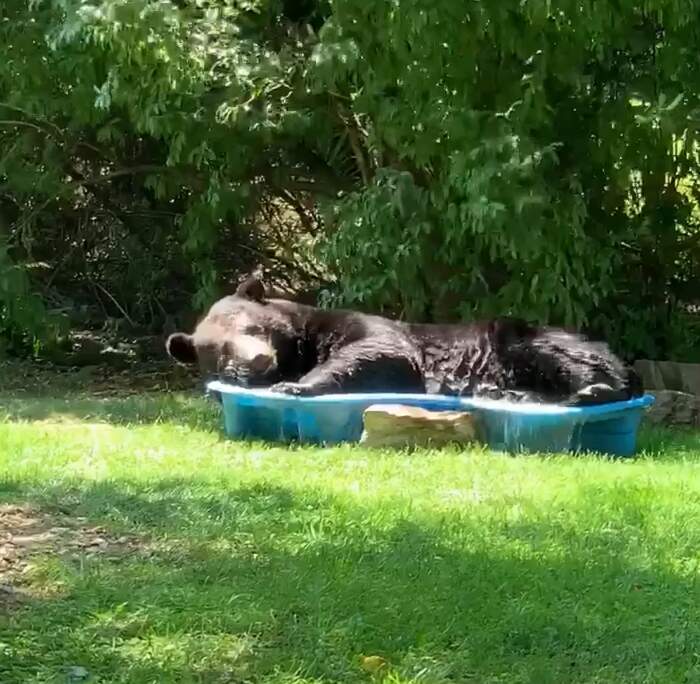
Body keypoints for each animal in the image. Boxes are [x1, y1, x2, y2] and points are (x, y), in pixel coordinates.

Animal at [167, 276, 644, 406]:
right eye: (219, 349)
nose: (258, 361)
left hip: (525, 338)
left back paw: (592, 390)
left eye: (252, 327)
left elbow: (376, 351)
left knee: (561, 355)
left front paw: (298, 385)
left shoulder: (367, 328)